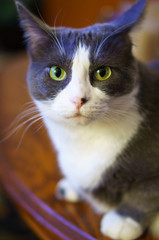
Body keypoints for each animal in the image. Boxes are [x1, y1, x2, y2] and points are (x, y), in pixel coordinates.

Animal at [16, 0, 159, 239]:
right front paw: (72, 186)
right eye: (56, 72)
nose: (78, 99)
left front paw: (124, 220)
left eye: (103, 72)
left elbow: (148, 190)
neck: (84, 137)